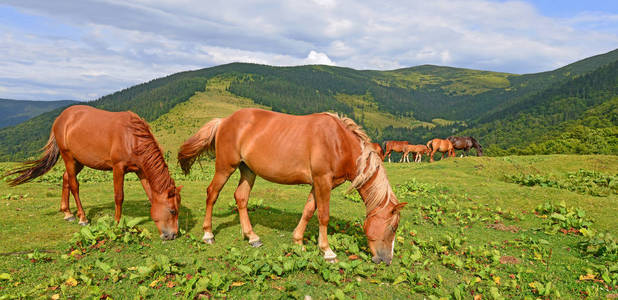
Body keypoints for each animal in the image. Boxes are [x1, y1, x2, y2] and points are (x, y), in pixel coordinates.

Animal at [5, 105, 183, 239]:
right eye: (172, 210)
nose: (173, 235)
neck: (132, 138)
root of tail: (61, 118)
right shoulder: (118, 168)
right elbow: (119, 197)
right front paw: (117, 224)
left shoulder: (142, 172)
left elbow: (150, 196)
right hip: (68, 157)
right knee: (74, 185)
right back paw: (82, 217)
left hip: (78, 161)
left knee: (65, 178)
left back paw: (67, 213)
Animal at [176, 109, 404, 264]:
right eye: (393, 227)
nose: (386, 260)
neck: (338, 142)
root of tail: (224, 121)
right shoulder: (322, 181)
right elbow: (323, 216)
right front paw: (327, 251)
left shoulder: (320, 184)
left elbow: (309, 210)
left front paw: (298, 242)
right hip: (225, 167)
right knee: (212, 193)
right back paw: (208, 234)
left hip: (248, 170)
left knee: (241, 197)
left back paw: (252, 237)